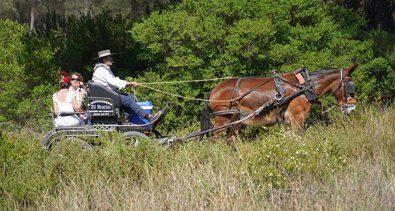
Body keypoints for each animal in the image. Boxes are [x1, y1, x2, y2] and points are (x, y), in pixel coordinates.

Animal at [201, 64, 358, 145]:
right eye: (349, 85)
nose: (352, 108)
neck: (305, 87)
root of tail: (214, 89)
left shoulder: (287, 121)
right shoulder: (297, 118)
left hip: (236, 120)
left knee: (231, 141)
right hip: (223, 120)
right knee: (212, 139)